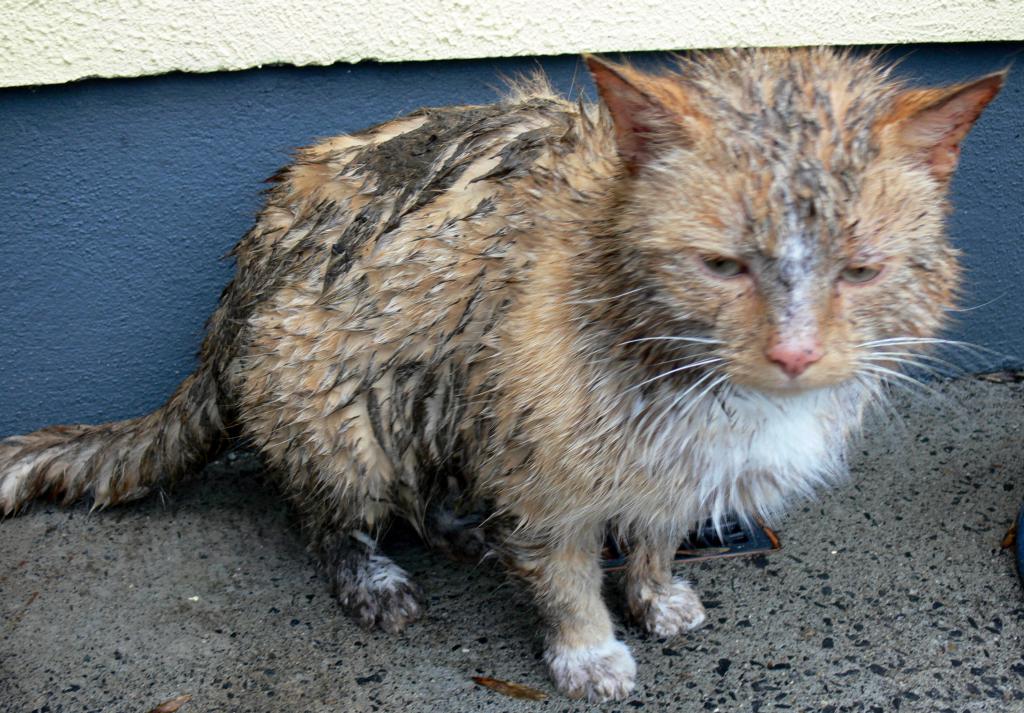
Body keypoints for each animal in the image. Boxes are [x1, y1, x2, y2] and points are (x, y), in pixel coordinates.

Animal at [0, 47, 1003, 700]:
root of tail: (241, 274)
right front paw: (589, 649)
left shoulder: (670, 465)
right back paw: (375, 573)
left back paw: (465, 527)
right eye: (722, 266)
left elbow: (655, 532)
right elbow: (565, 571)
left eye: (861, 270)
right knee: (327, 514)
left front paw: (652, 591)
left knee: (432, 488)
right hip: (338, 399)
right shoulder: (545, 464)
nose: (796, 353)